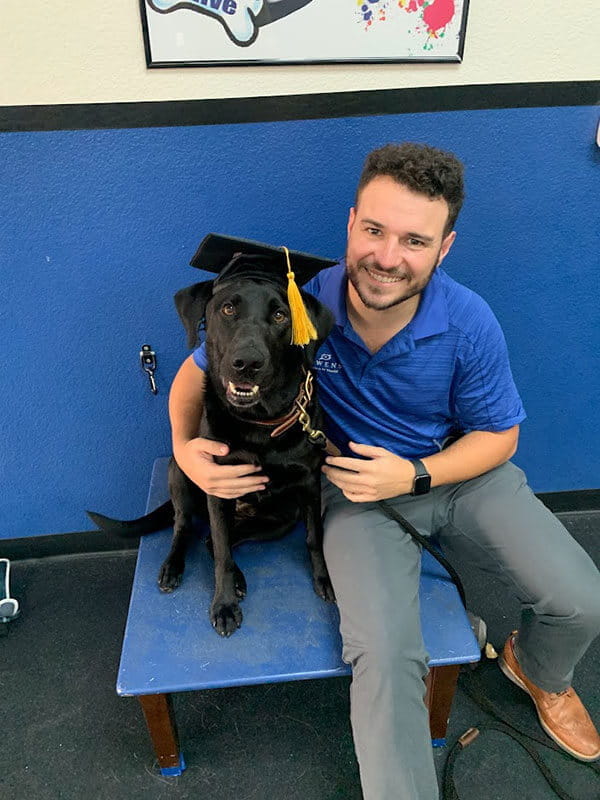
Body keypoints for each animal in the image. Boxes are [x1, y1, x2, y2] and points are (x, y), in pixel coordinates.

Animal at [88, 276, 336, 636]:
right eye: (228, 309)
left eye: (280, 316)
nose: (247, 363)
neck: (259, 423)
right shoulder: (219, 486)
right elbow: (220, 553)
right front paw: (224, 605)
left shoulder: (308, 483)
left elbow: (314, 536)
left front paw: (324, 578)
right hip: (180, 470)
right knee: (188, 528)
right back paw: (176, 566)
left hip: (280, 518)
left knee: (217, 539)